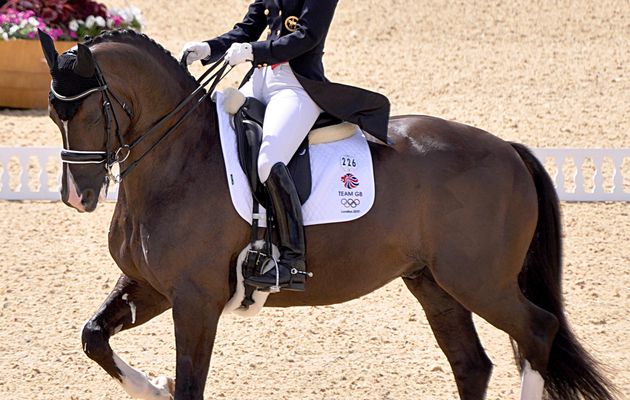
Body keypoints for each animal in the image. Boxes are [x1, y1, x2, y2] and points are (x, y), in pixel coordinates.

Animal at [37, 31, 616, 400]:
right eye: (52, 112)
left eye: (86, 109)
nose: (78, 197)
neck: (178, 159)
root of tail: (508, 149)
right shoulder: (152, 286)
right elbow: (93, 337)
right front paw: (153, 386)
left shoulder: (195, 299)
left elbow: (192, 385)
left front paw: (165, 384)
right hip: (434, 284)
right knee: (472, 365)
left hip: (479, 280)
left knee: (537, 331)